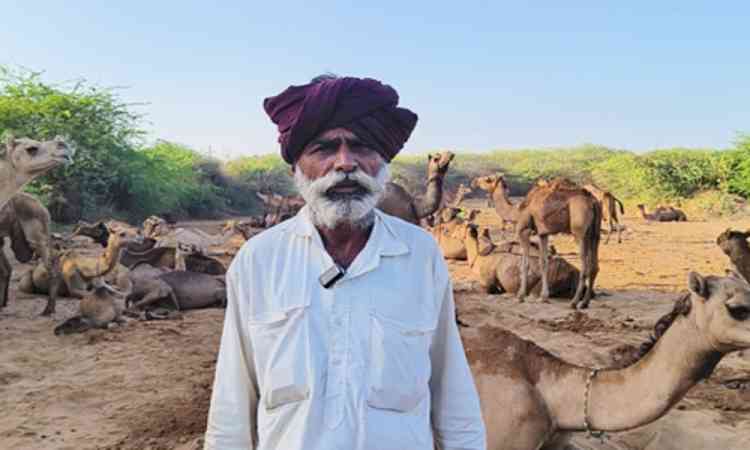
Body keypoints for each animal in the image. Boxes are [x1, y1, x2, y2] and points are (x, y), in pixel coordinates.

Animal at [515, 177, 601, 308]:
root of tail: (593, 202)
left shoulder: (524, 230)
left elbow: (525, 264)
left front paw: (521, 296)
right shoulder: (543, 234)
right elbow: (543, 262)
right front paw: (543, 297)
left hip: (579, 232)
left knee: (584, 266)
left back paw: (574, 302)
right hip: (594, 234)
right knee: (594, 266)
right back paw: (584, 303)